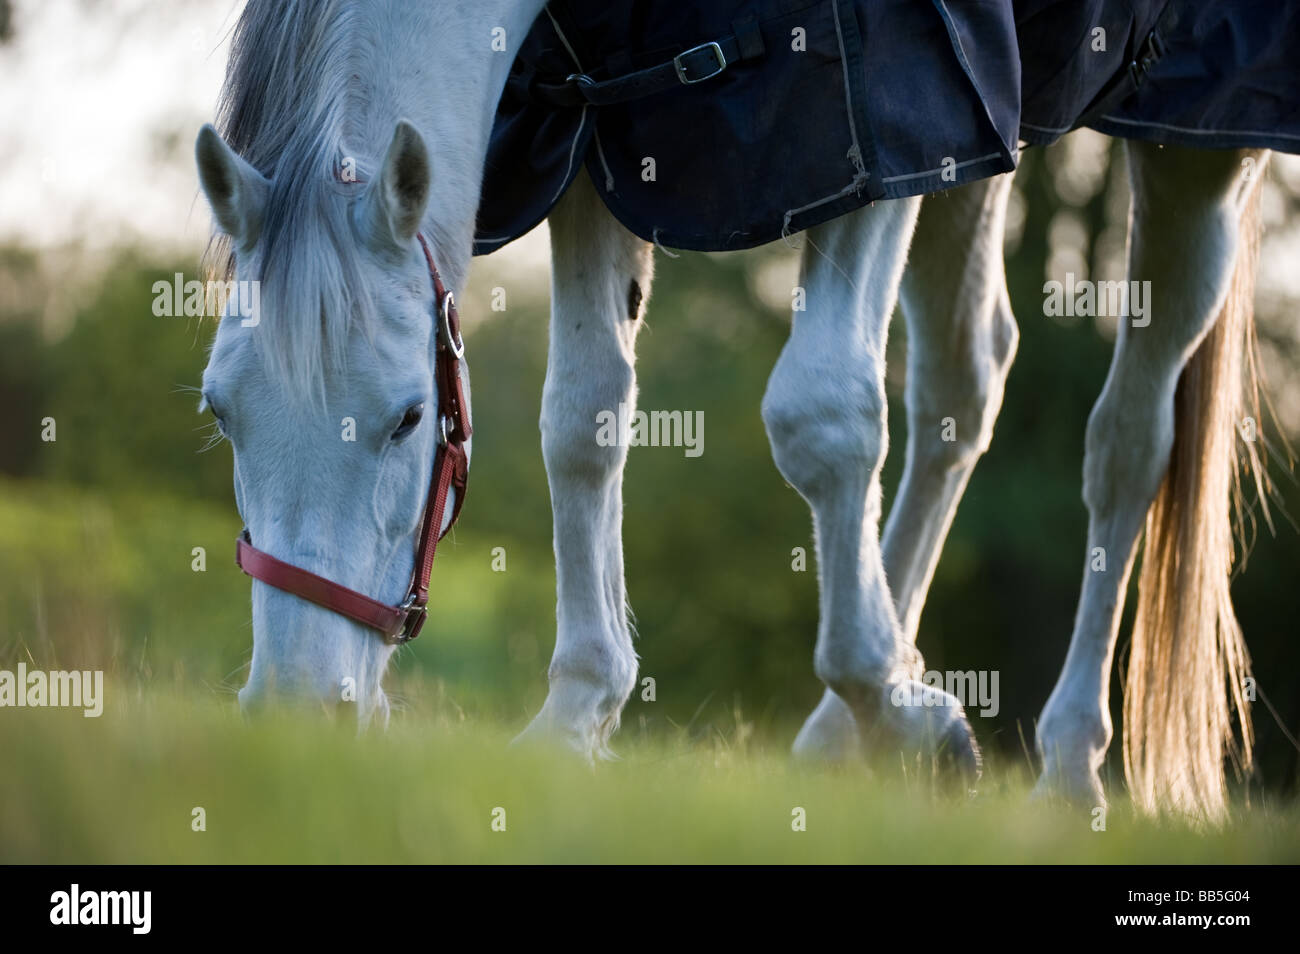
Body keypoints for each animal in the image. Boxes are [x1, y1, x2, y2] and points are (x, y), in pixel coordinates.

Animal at [197, 0, 1263, 821]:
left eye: (410, 420)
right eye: (221, 417)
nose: (298, 709)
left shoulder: (879, 129)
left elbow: (823, 416)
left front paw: (907, 711)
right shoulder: (593, 135)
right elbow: (581, 421)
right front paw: (578, 714)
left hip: (1192, 149)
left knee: (1130, 439)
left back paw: (1068, 764)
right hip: (982, 152)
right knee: (966, 379)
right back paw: (846, 735)